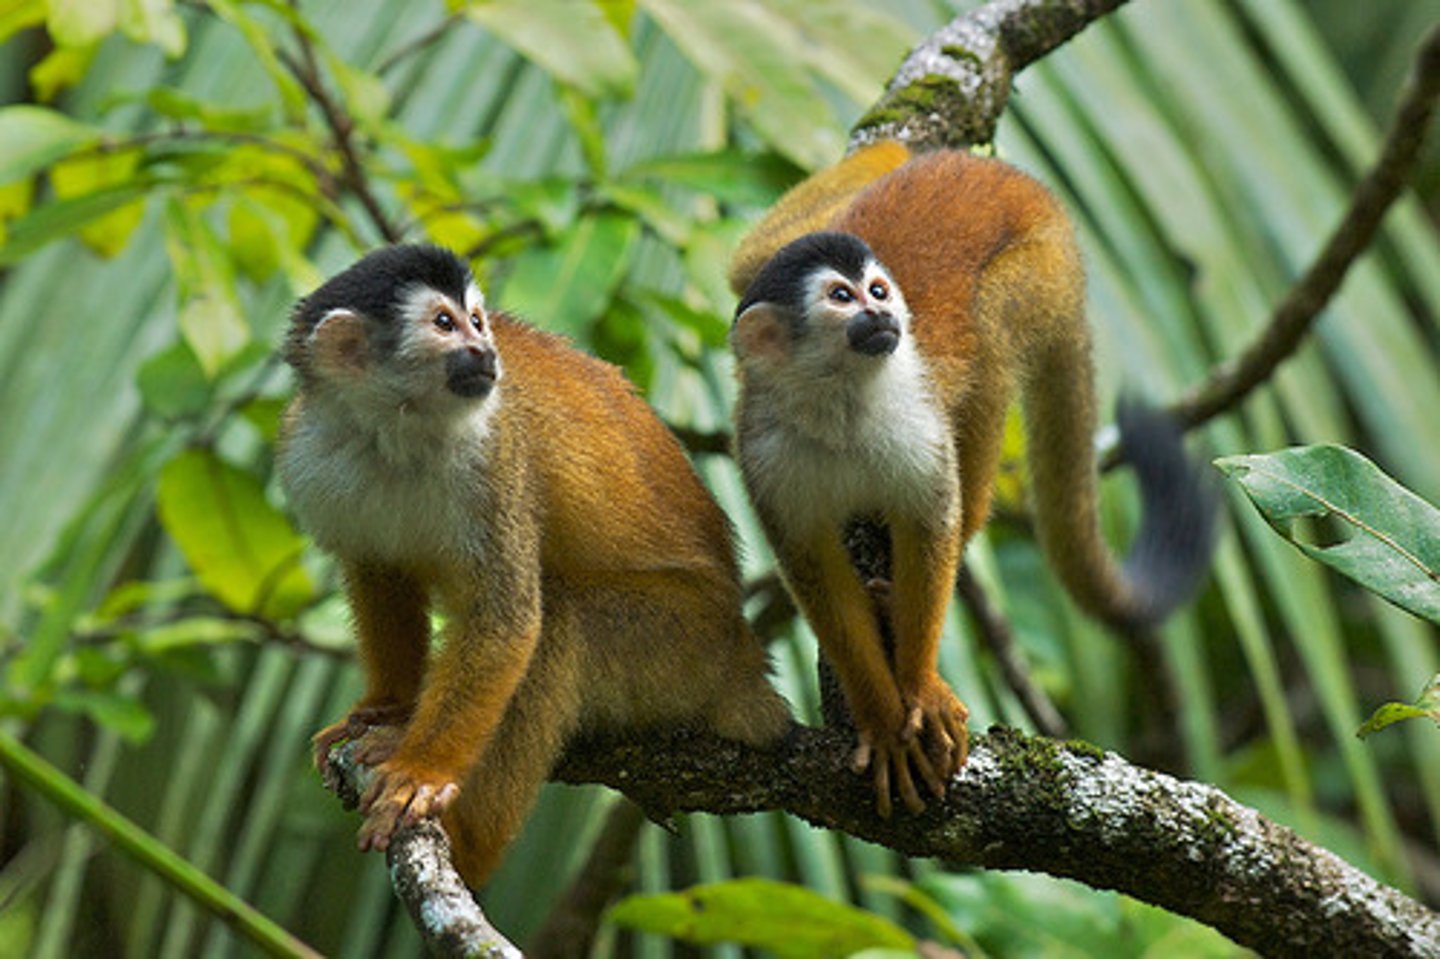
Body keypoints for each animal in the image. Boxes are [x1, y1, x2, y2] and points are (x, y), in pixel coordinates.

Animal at [277, 243, 791, 887]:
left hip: (686, 648)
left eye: (478, 321)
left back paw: (468, 845)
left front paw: (419, 769)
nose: (487, 351)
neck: (391, 429)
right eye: (444, 324)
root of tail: (744, 659)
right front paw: (386, 709)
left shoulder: (498, 455)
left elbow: (508, 621)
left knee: (560, 624)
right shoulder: (310, 450)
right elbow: (380, 574)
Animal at [728, 144, 1218, 818]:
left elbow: (930, 522)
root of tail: (1005, 178)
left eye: (876, 291)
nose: (884, 312)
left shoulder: (917, 420)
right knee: (745, 262)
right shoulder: (762, 449)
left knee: (989, 332)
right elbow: (813, 569)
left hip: (1043, 268)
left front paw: (920, 688)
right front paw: (882, 720)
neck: (838, 403)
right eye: (841, 298)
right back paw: (883, 153)